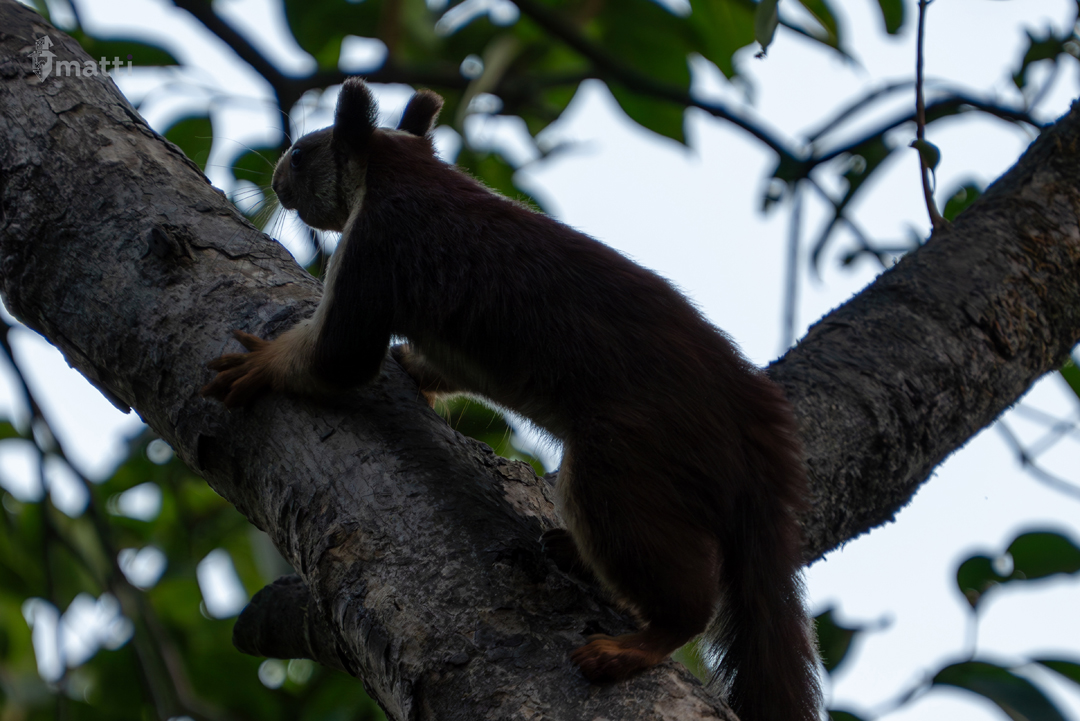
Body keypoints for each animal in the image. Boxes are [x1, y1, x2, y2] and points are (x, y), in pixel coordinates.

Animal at [202, 77, 821, 721]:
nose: (275, 179)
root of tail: (752, 432)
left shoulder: (375, 244)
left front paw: (262, 364)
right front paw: (410, 368)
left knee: (680, 591)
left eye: (302, 154)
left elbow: (339, 356)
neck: (402, 171)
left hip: (624, 458)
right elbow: (435, 362)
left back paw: (637, 643)